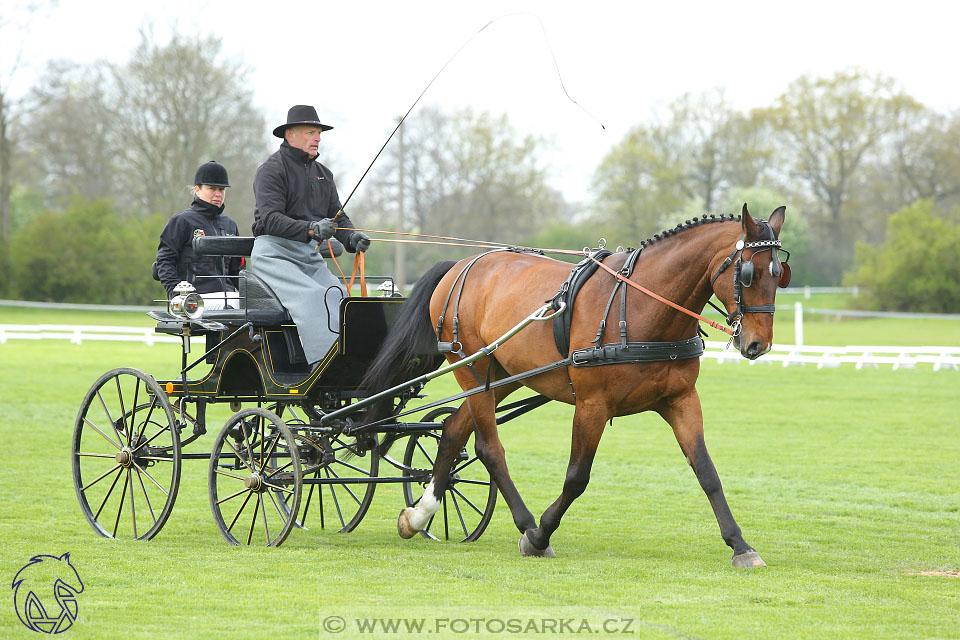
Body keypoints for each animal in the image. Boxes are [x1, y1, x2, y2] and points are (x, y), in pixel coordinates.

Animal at [360, 204, 788, 564]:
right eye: (747, 273)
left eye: (779, 275)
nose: (758, 345)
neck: (640, 305)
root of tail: (463, 264)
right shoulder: (592, 405)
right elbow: (576, 477)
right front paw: (538, 537)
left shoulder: (680, 399)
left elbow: (706, 471)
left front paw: (740, 544)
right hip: (472, 369)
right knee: (488, 447)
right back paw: (524, 523)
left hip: (500, 375)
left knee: (452, 431)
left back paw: (419, 515)